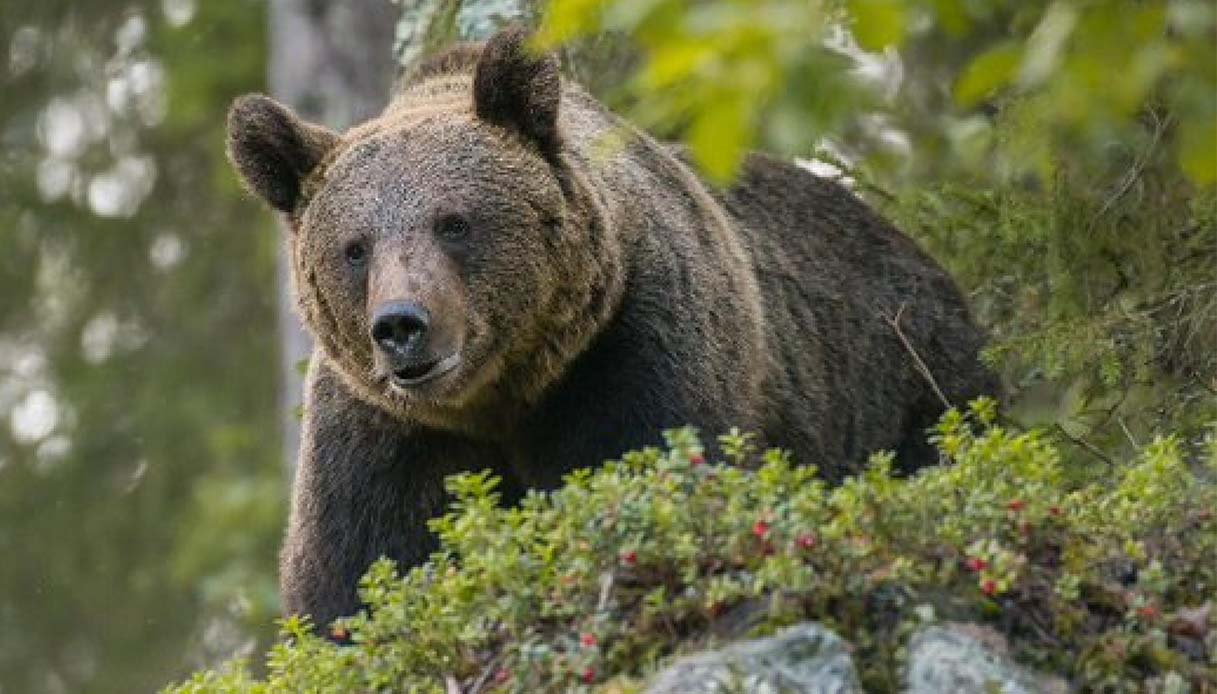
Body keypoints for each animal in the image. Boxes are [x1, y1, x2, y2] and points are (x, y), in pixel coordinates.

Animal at [226, 27, 997, 628]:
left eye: (454, 222)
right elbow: (357, 576)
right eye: (354, 247)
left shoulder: (634, 348)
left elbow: (643, 478)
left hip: (910, 381)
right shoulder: (383, 431)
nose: (401, 326)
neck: (503, 395)